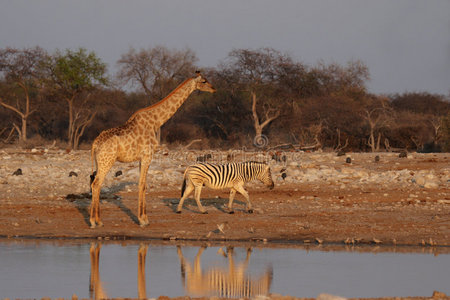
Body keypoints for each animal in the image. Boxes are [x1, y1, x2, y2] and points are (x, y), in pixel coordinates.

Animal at [89, 72, 216, 227]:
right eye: (204, 81)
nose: (214, 89)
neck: (156, 121)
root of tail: (95, 143)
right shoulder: (147, 155)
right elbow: (143, 185)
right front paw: (143, 220)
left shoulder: (141, 158)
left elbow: (142, 184)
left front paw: (143, 218)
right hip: (107, 161)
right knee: (96, 184)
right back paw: (94, 221)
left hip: (99, 162)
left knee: (96, 184)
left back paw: (98, 220)